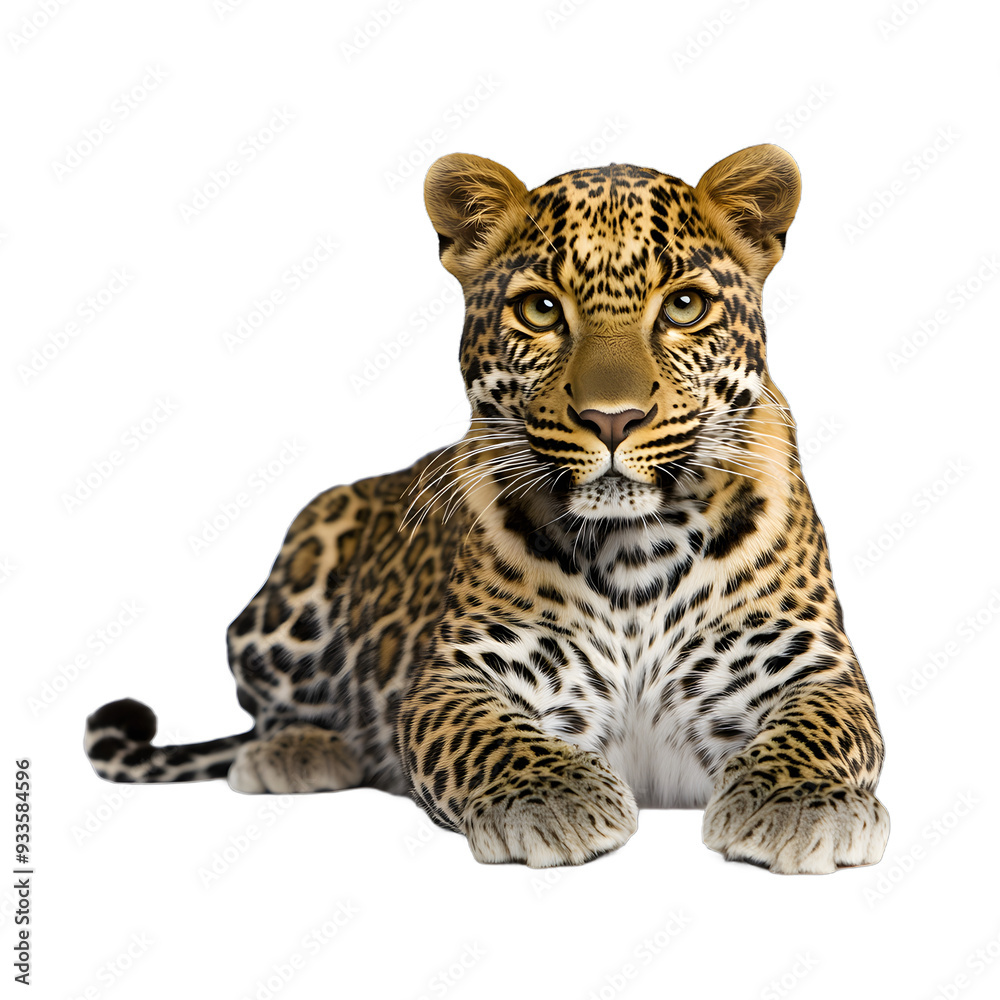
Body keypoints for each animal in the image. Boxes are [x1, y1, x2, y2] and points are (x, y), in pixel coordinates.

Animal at [85, 145, 889, 873]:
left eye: (685, 306)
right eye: (540, 309)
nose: (613, 419)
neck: (636, 544)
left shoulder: (813, 667)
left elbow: (823, 729)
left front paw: (800, 804)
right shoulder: (458, 674)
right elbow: (484, 735)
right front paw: (556, 799)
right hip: (299, 564)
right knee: (267, 707)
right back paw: (299, 750)